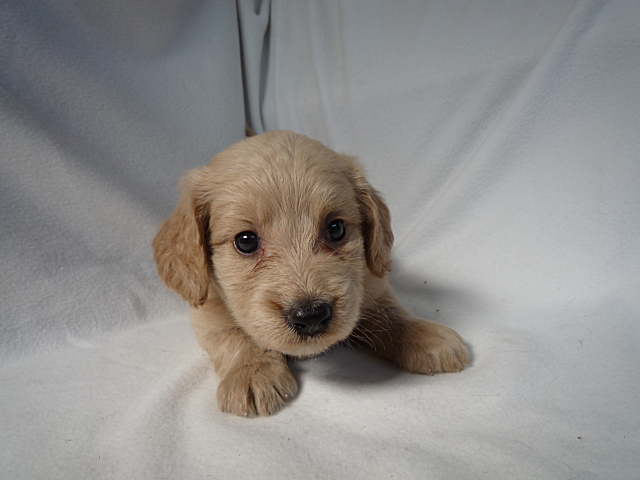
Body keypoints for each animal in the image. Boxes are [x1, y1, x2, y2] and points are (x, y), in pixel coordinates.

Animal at [153, 130, 470, 417]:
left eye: (336, 228)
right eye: (245, 241)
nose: (311, 316)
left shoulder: (371, 283)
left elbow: (391, 313)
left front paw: (425, 335)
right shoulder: (206, 305)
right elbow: (230, 333)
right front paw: (252, 370)